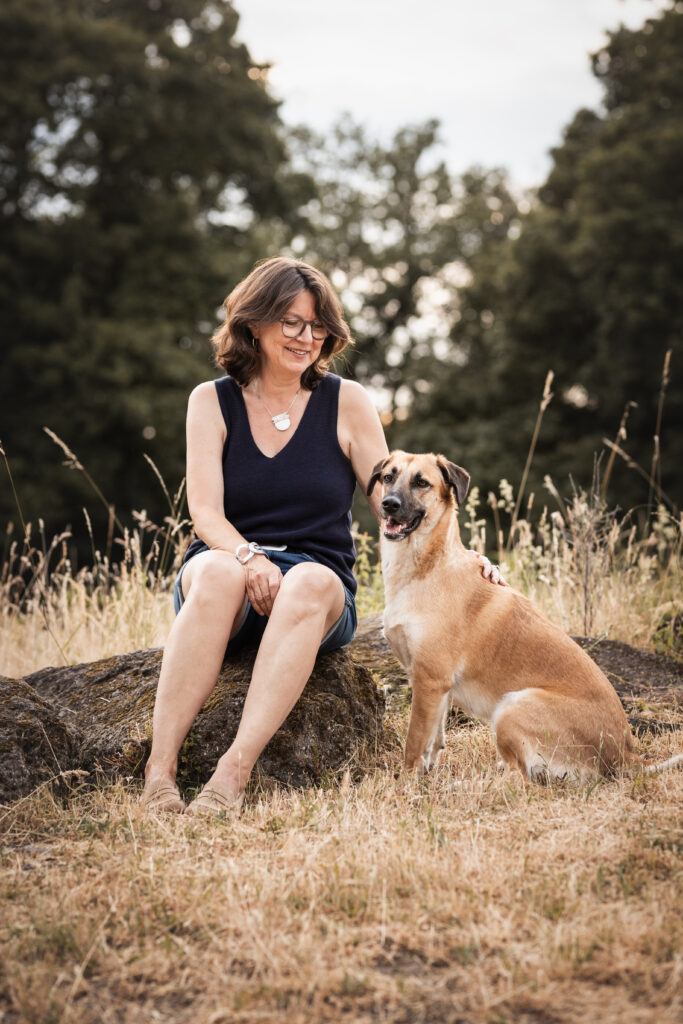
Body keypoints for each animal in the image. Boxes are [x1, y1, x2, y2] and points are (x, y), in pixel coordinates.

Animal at [370, 452, 679, 778]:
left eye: (421, 482)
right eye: (388, 477)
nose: (388, 504)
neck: (429, 564)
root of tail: (627, 754)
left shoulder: (429, 679)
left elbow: (415, 742)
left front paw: (406, 783)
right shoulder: (437, 685)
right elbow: (434, 738)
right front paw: (426, 776)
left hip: (512, 706)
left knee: (519, 777)